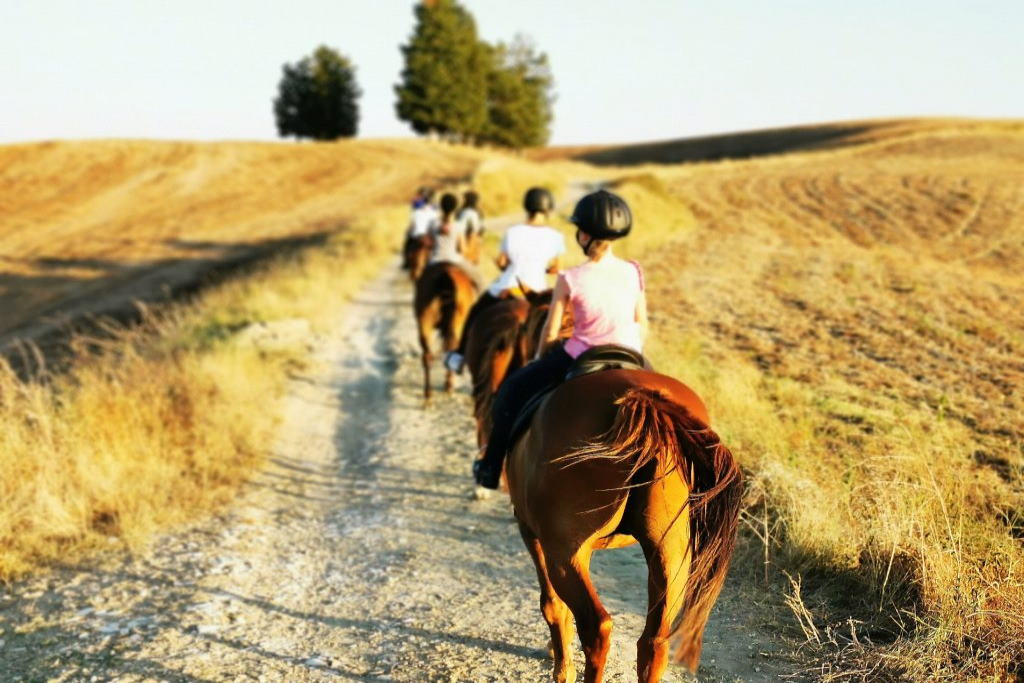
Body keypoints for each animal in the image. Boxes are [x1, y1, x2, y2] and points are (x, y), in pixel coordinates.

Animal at [505, 369, 743, 682]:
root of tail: (643, 400)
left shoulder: (531, 533)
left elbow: (553, 605)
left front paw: (563, 669)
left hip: (564, 556)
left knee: (596, 627)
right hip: (670, 559)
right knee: (654, 642)